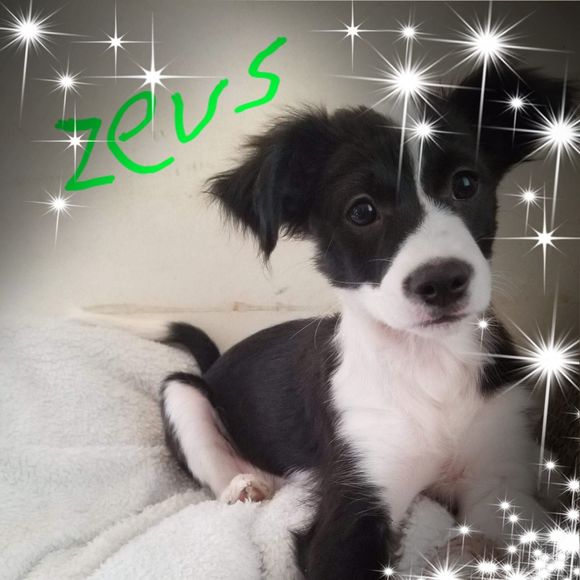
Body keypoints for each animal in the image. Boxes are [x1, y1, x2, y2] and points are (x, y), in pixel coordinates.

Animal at [159, 66, 571, 579]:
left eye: (465, 184)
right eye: (361, 211)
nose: (442, 281)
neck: (426, 361)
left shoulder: (498, 481)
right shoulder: (353, 506)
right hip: (181, 393)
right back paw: (244, 485)